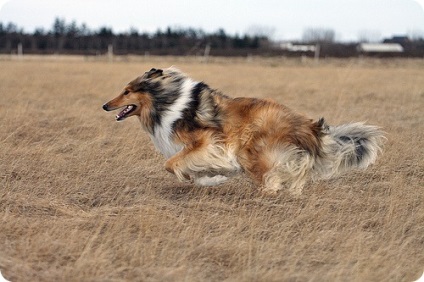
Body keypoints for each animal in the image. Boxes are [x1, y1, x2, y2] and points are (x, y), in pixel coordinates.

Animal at [102, 67, 384, 196]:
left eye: (127, 91)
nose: (105, 105)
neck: (165, 102)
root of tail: (308, 124)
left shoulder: (207, 142)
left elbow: (171, 164)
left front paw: (213, 177)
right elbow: (189, 171)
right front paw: (212, 179)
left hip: (253, 152)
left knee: (272, 179)